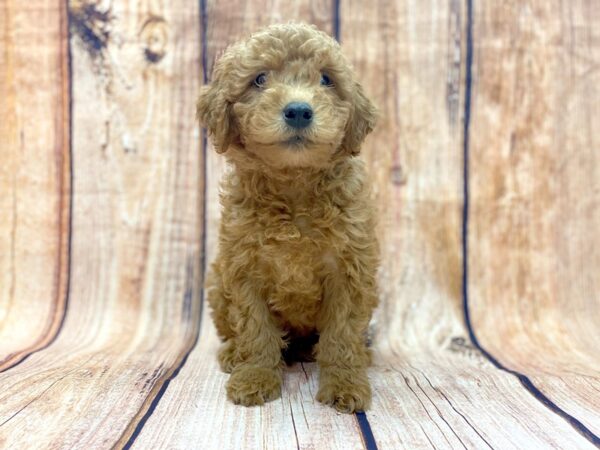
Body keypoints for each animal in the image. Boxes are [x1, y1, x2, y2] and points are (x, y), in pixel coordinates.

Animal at [198, 22, 380, 414]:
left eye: (326, 79)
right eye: (259, 79)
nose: (298, 110)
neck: (294, 185)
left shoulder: (350, 270)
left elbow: (342, 335)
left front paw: (345, 383)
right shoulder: (243, 269)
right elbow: (255, 330)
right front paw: (254, 377)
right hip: (217, 281)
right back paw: (232, 354)